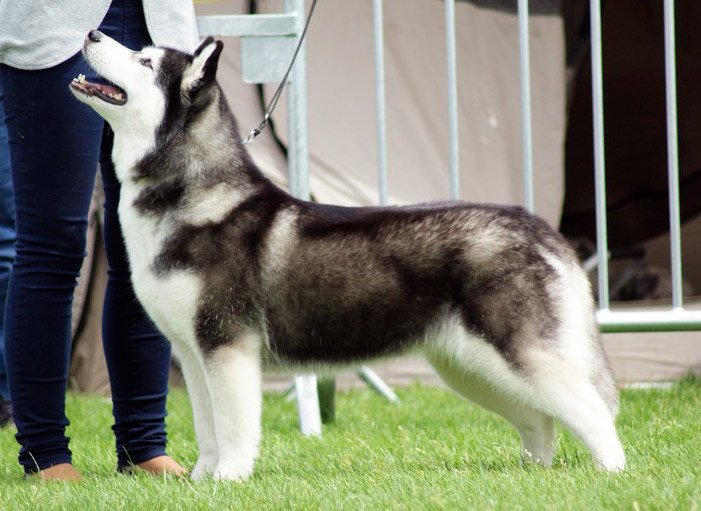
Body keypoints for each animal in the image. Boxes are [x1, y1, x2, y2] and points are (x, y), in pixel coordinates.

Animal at [70, 31, 626, 481]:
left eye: (144, 61)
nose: (92, 31)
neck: (189, 193)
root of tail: (537, 224)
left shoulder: (227, 346)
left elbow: (232, 428)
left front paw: (229, 479)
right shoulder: (191, 352)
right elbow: (207, 429)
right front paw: (200, 481)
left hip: (517, 353)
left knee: (593, 411)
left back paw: (611, 474)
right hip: (470, 367)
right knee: (540, 421)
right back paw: (533, 474)